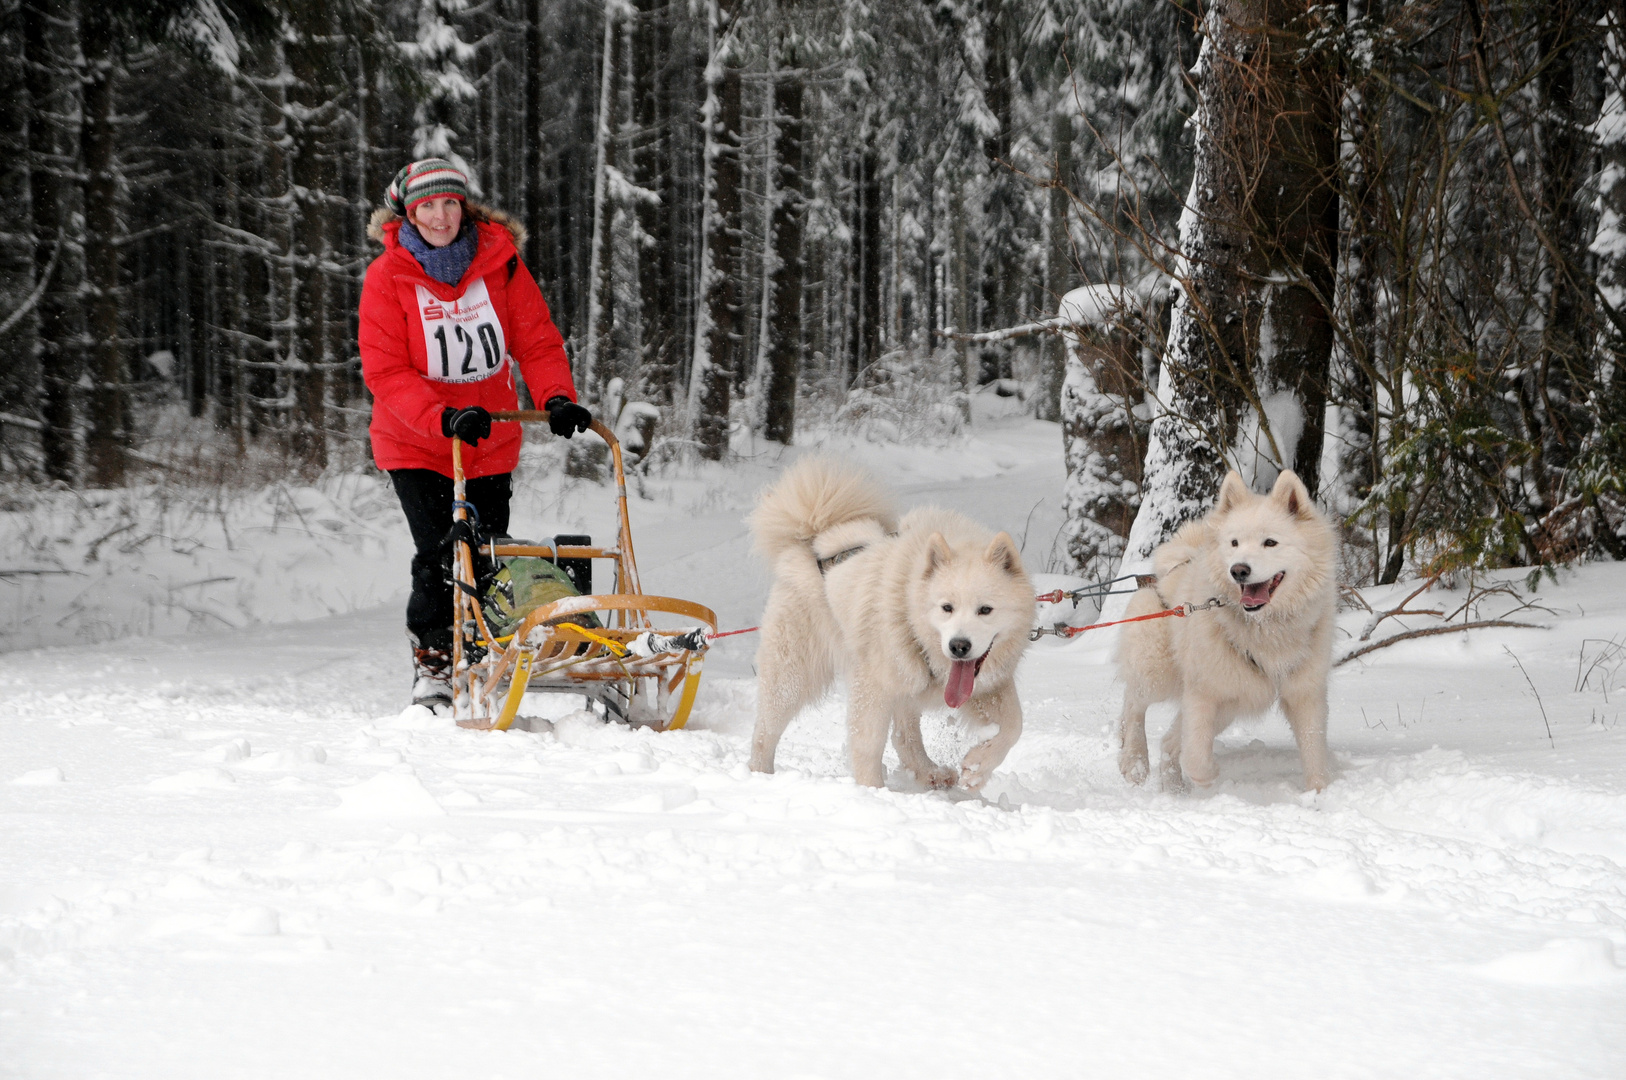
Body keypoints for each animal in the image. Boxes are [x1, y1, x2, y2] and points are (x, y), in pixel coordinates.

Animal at [744, 455, 1034, 793]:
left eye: (985, 610)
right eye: (946, 608)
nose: (959, 647)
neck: (910, 604)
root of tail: (815, 539)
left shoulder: (986, 686)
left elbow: (1014, 725)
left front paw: (977, 767)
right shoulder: (873, 685)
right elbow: (868, 745)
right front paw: (872, 792)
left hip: (906, 679)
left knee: (904, 735)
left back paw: (929, 771)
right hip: (795, 674)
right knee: (765, 729)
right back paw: (759, 773)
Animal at [1112, 468, 1339, 790]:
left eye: (1270, 543)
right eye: (1234, 543)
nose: (1239, 570)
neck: (1265, 629)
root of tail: (1170, 570)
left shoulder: (1305, 693)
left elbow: (1314, 751)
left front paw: (1320, 793)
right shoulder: (1203, 692)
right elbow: (1195, 755)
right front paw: (1208, 777)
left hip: (1232, 702)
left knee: (1168, 741)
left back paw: (1174, 788)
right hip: (1158, 673)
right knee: (1133, 705)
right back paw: (1134, 761)